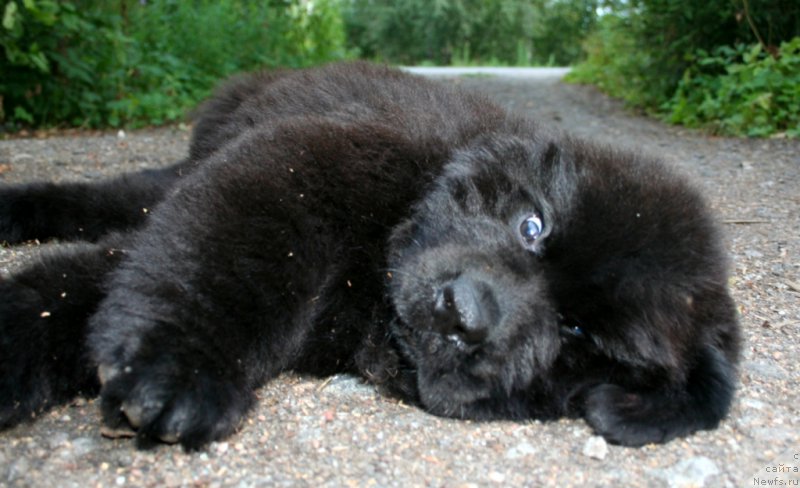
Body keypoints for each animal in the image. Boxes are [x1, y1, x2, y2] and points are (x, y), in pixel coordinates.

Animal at [0, 62, 736, 450]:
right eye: (533, 226)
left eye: (579, 334)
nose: (465, 316)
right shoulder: (300, 165)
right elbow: (220, 261)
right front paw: (180, 363)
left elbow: (85, 288)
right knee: (106, 198)